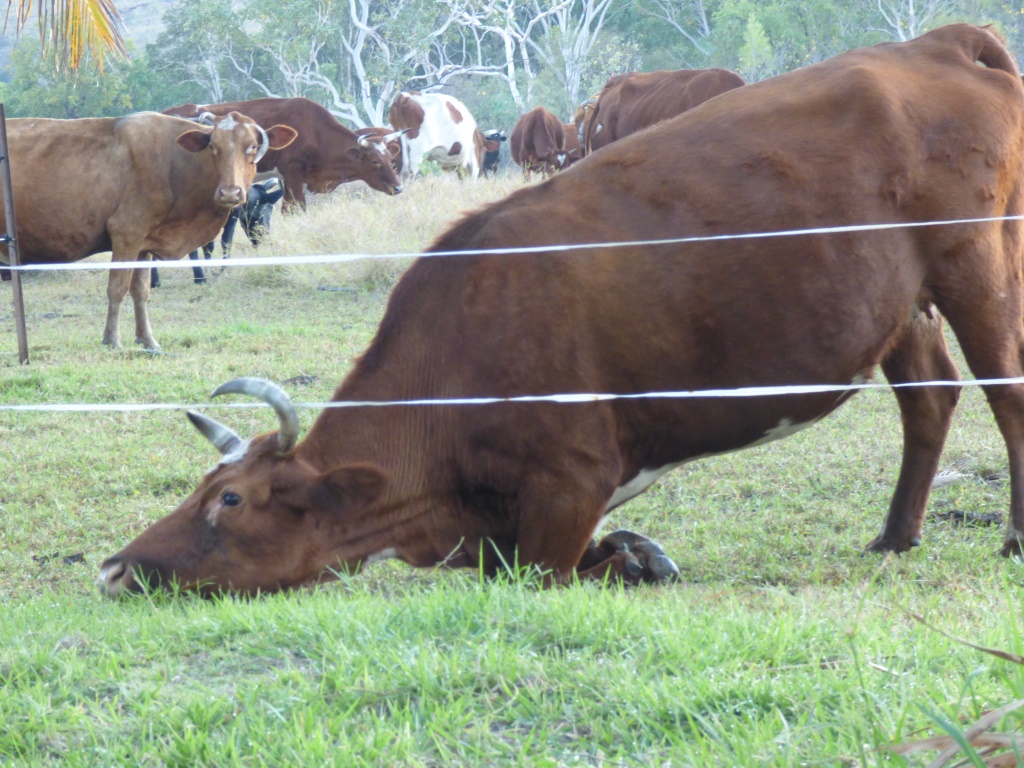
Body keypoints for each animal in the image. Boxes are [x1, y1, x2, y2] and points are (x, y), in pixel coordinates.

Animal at [149, 179, 284, 286]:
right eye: (269, 206)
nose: (264, 235)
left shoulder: (229, 218)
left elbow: (221, 244)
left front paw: (217, 271)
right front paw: (201, 277)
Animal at [161, 100, 401, 214]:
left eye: (390, 159)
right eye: (375, 161)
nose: (398, 188)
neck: (314, 131)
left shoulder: (289, 180)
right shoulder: (292, 173)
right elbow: (295, 210)